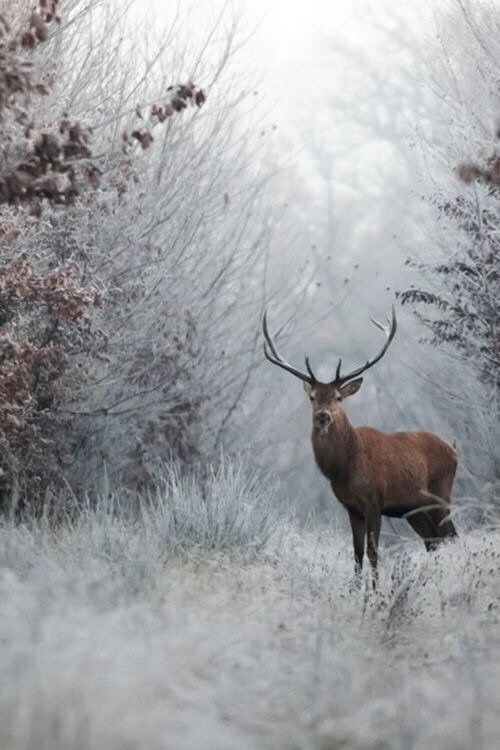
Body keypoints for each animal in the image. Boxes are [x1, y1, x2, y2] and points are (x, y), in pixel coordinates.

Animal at [263, 306, 458, 587]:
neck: (346, 467)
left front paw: (375, 591)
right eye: (313, 397)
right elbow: (356, 553)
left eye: (338, 397)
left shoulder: (374, 501)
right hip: (414, 509)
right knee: (433, 541)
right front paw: (355, 590)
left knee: (450, 536)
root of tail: (454, 449)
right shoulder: (351, 507)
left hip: (441, 494)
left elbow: (373, 551)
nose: (323, 416)